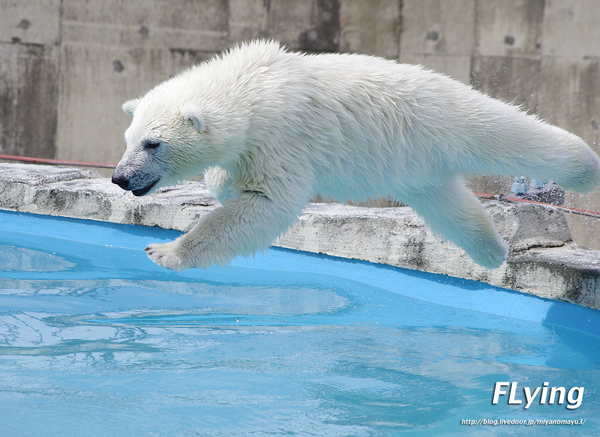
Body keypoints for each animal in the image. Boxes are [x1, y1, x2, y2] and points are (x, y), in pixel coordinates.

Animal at [111, 39, 600, 270]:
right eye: (129, 138)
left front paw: (163, 251)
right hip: (414, 162)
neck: (251, 86)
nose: (120, 178)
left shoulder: (281, 136)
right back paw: (491, 251)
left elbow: (268, 202)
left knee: (508, 134)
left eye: (153, 144)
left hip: (441, 118)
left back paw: (585, 168)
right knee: (445, 201)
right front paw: (221, 182)